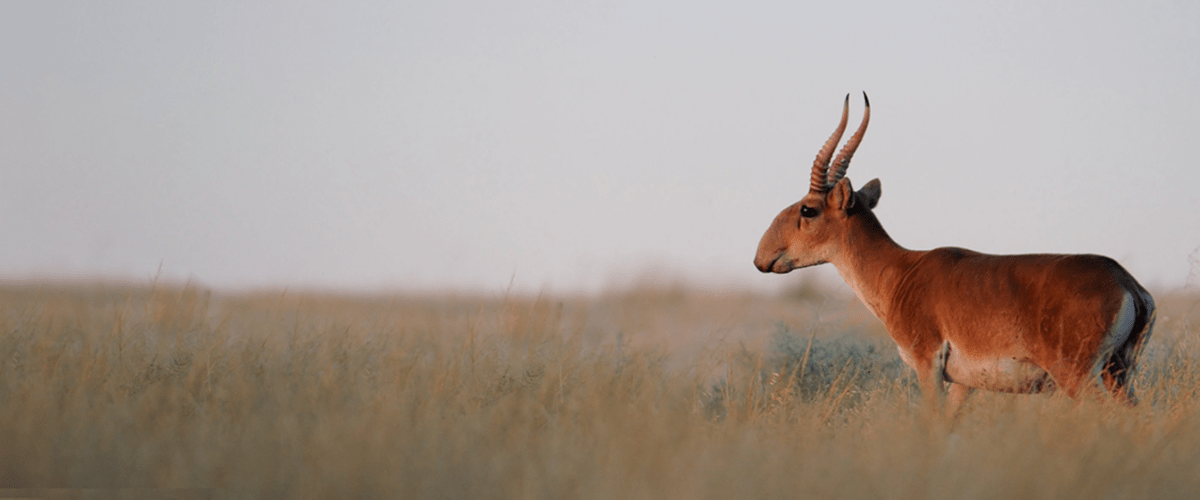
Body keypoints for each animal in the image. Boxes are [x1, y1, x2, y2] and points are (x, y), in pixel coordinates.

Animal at [754, 93, 1155, 415]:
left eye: (808, 209)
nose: (762, 258)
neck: (901, 271)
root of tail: (1127, 282)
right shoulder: (964, 384)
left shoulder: (927, 364)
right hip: (1118, 375)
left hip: (1081, 377)